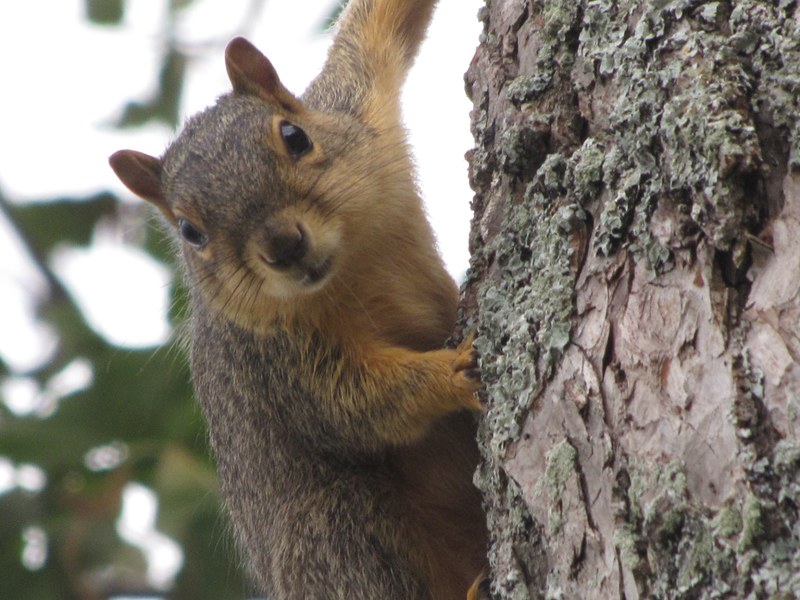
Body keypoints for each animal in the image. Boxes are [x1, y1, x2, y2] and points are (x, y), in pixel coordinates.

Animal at [109, 0, 488, 598]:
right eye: (191, 232)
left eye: (295, 136)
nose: (284, 245)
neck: (354, 263)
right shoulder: (270, 361)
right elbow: (356, 404)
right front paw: (452, 371)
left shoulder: (356, 98)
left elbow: (375, 26)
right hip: (333, 529)